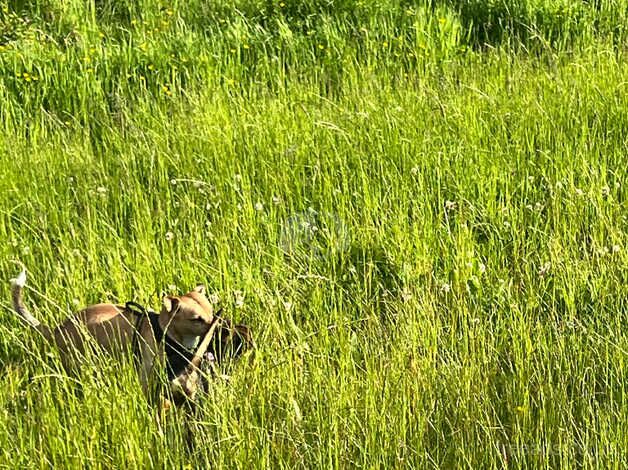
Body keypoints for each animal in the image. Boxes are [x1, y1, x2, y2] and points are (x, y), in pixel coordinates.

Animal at [8, 270, 216, 402]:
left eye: (211, 312)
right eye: (196, 319)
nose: (219, 323)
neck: (163, 331)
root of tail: (56, 329)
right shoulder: (146, 376)